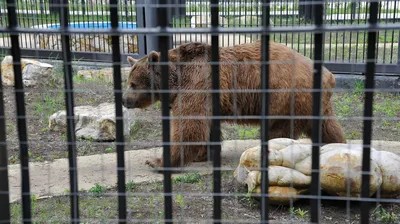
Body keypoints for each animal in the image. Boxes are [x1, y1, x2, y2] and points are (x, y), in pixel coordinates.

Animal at [122, 39, 346, 168]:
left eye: (133, 83)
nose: (124, 100)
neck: (175, 79)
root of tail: (328, 75)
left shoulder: (197, 82)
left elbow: (189, 125)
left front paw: (156, 161)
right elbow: (207, 126)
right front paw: (203, 154)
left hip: (285, 96)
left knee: (278, 130)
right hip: (316, 104)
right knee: (328, 127)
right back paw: (336, 145)